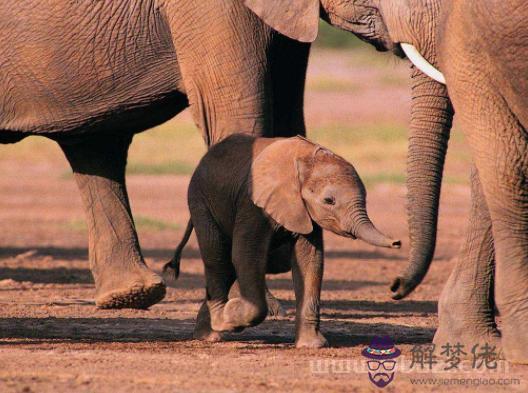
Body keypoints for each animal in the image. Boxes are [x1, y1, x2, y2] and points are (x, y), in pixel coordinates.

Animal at [171, 134, 398, 346]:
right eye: (329, 201)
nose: (397, 243)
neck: (305, 159)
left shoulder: (304, 211)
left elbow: (310, 261)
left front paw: (312, 345)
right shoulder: (252, 204)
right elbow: (246, 255)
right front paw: (232, 316)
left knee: (226, 266)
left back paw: (208, 331)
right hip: (201, 201)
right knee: (218, 258)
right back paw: (219, 325)